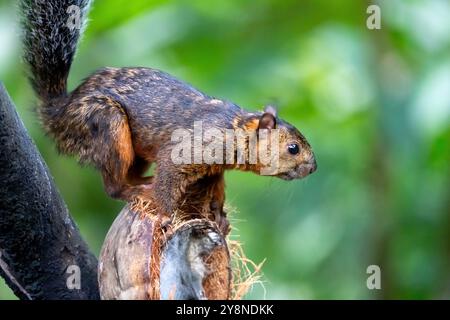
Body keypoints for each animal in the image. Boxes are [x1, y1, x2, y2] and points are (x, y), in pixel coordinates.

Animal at [21, 0, 316, 228]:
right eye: (293, 148)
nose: (313, 168)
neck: (235, 128)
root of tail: (59, 113)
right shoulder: (187, 149)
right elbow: (169, 178)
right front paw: (166, 216)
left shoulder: (214, 169)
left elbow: (217, 191)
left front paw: (219, 217)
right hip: (106, 124)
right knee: (113, 186)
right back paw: (137, 191)